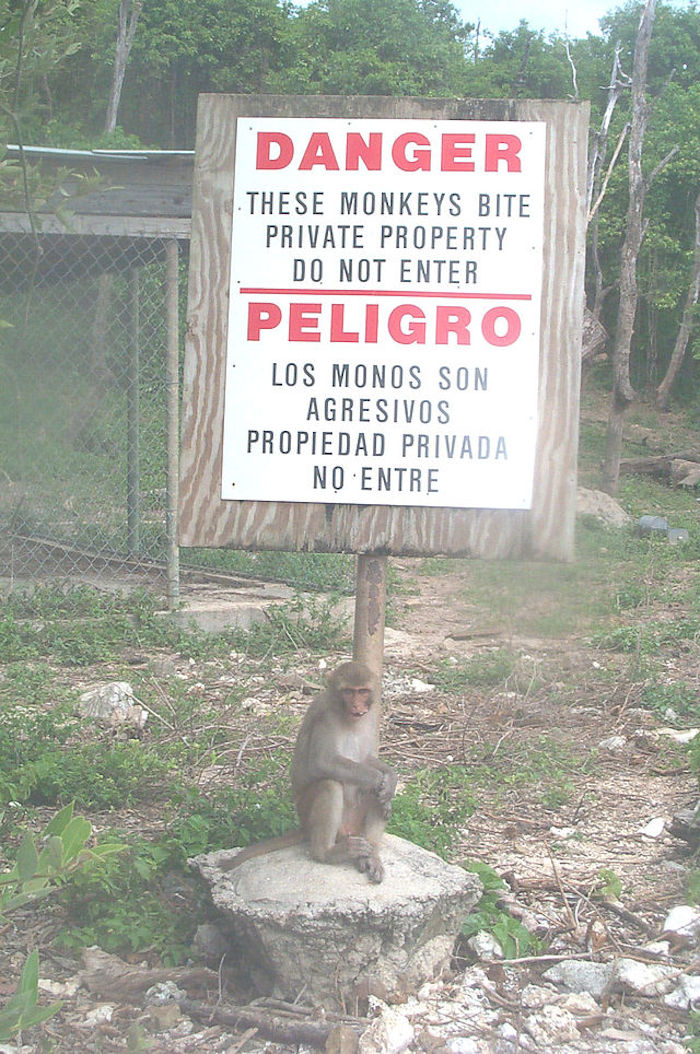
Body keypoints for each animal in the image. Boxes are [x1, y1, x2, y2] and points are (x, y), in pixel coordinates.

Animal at [220, 666, 394, 881]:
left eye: (362, 691)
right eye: (348, 691)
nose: (356, 705)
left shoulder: (371, 717)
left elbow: (367, 758)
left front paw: (390, 779)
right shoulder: (325, 717)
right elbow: (323, 763)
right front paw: (377, 779)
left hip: (355, 825)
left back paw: (371, 853)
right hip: (308, 811)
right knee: (330, 784)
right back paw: (326, 852)